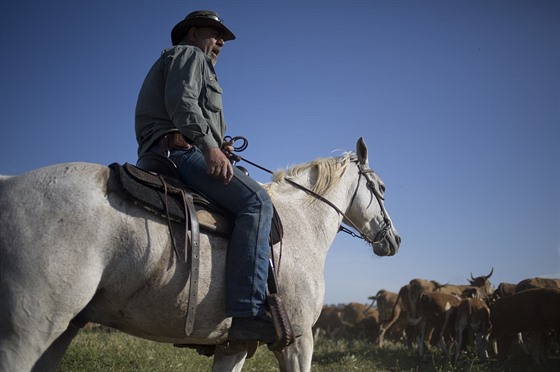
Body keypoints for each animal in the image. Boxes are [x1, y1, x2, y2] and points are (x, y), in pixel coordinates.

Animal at [1, 138, 402, 372]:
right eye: (381, 188)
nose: (394, 238)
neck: (301, 224)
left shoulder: (233, 346)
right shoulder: (299, 341)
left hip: (63, 330)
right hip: (29, 330)